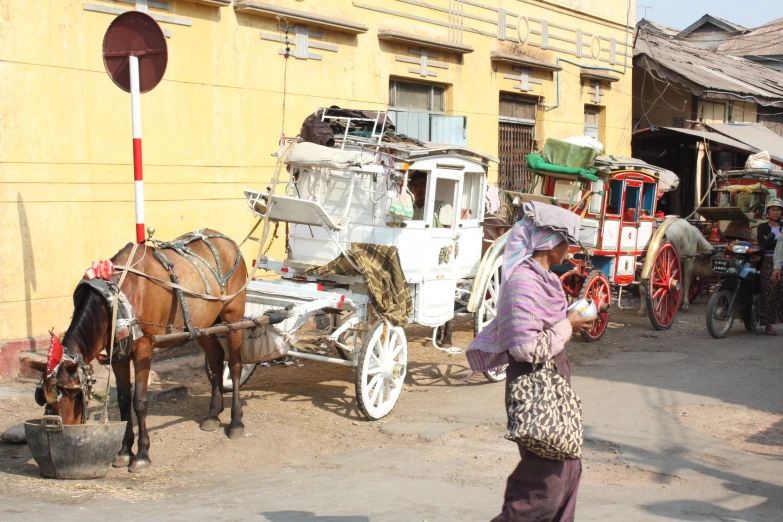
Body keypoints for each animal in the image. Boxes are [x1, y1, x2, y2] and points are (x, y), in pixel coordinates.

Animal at [22, 229, 248, 472]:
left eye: (74, 393)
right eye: (44, 397)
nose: (61, 432)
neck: (114, 300)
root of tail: (224, 239)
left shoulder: (143, 350)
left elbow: (139, 401)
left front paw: (142, 454)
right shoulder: (118, 355)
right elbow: (123, 400)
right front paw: (123, 451)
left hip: (233, 319)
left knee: (235, 366)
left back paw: (236, 421)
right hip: (203, 325)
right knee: (216, 358)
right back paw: (213, 414)